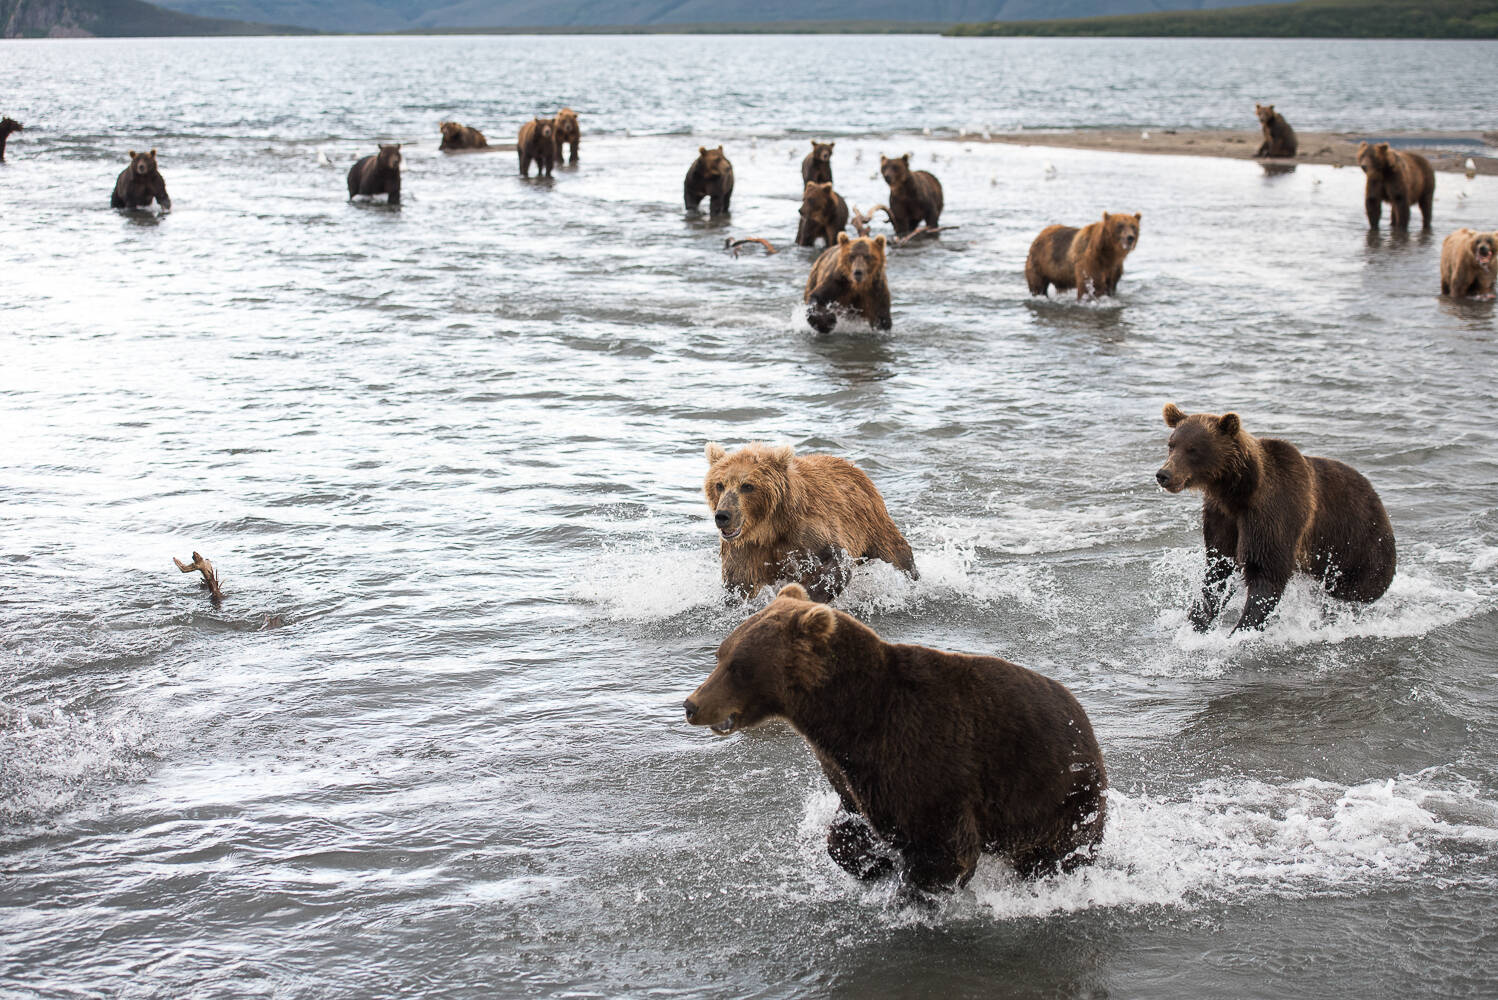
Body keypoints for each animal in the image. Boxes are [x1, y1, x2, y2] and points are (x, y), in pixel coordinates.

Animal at [686, 580, 1108, 892]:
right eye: (720, 654)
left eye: (738, 666)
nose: (691, 705)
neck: (846, 716)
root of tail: (1088, 728)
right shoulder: (849, 771)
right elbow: (850, 826)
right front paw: (871, 862)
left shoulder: (919, 751)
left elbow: (940, 844)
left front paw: (916, 889)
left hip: (1056, 793)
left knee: (1058, 851)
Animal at [704, 440, 922, 601]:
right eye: (719, 484)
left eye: (747, 486)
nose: (723, 515)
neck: (769, 528)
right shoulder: (746, 548)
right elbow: (739, 583)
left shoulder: (808, 528)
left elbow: (836, 559)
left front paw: (807, 593)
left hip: (873, 524)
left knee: (898, 556)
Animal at [1150, 404, 1396, 631]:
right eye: (1171, 445)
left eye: (1193, 449)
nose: (1164, 474)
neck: (1237, 492)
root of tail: (1377, 497)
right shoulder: (1221, 518)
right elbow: (1218, 571)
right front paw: (1197, 620)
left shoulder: (1273, 512)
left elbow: (1267, 573)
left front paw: (1242, 628)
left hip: (1358, 541)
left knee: (1358, 587)